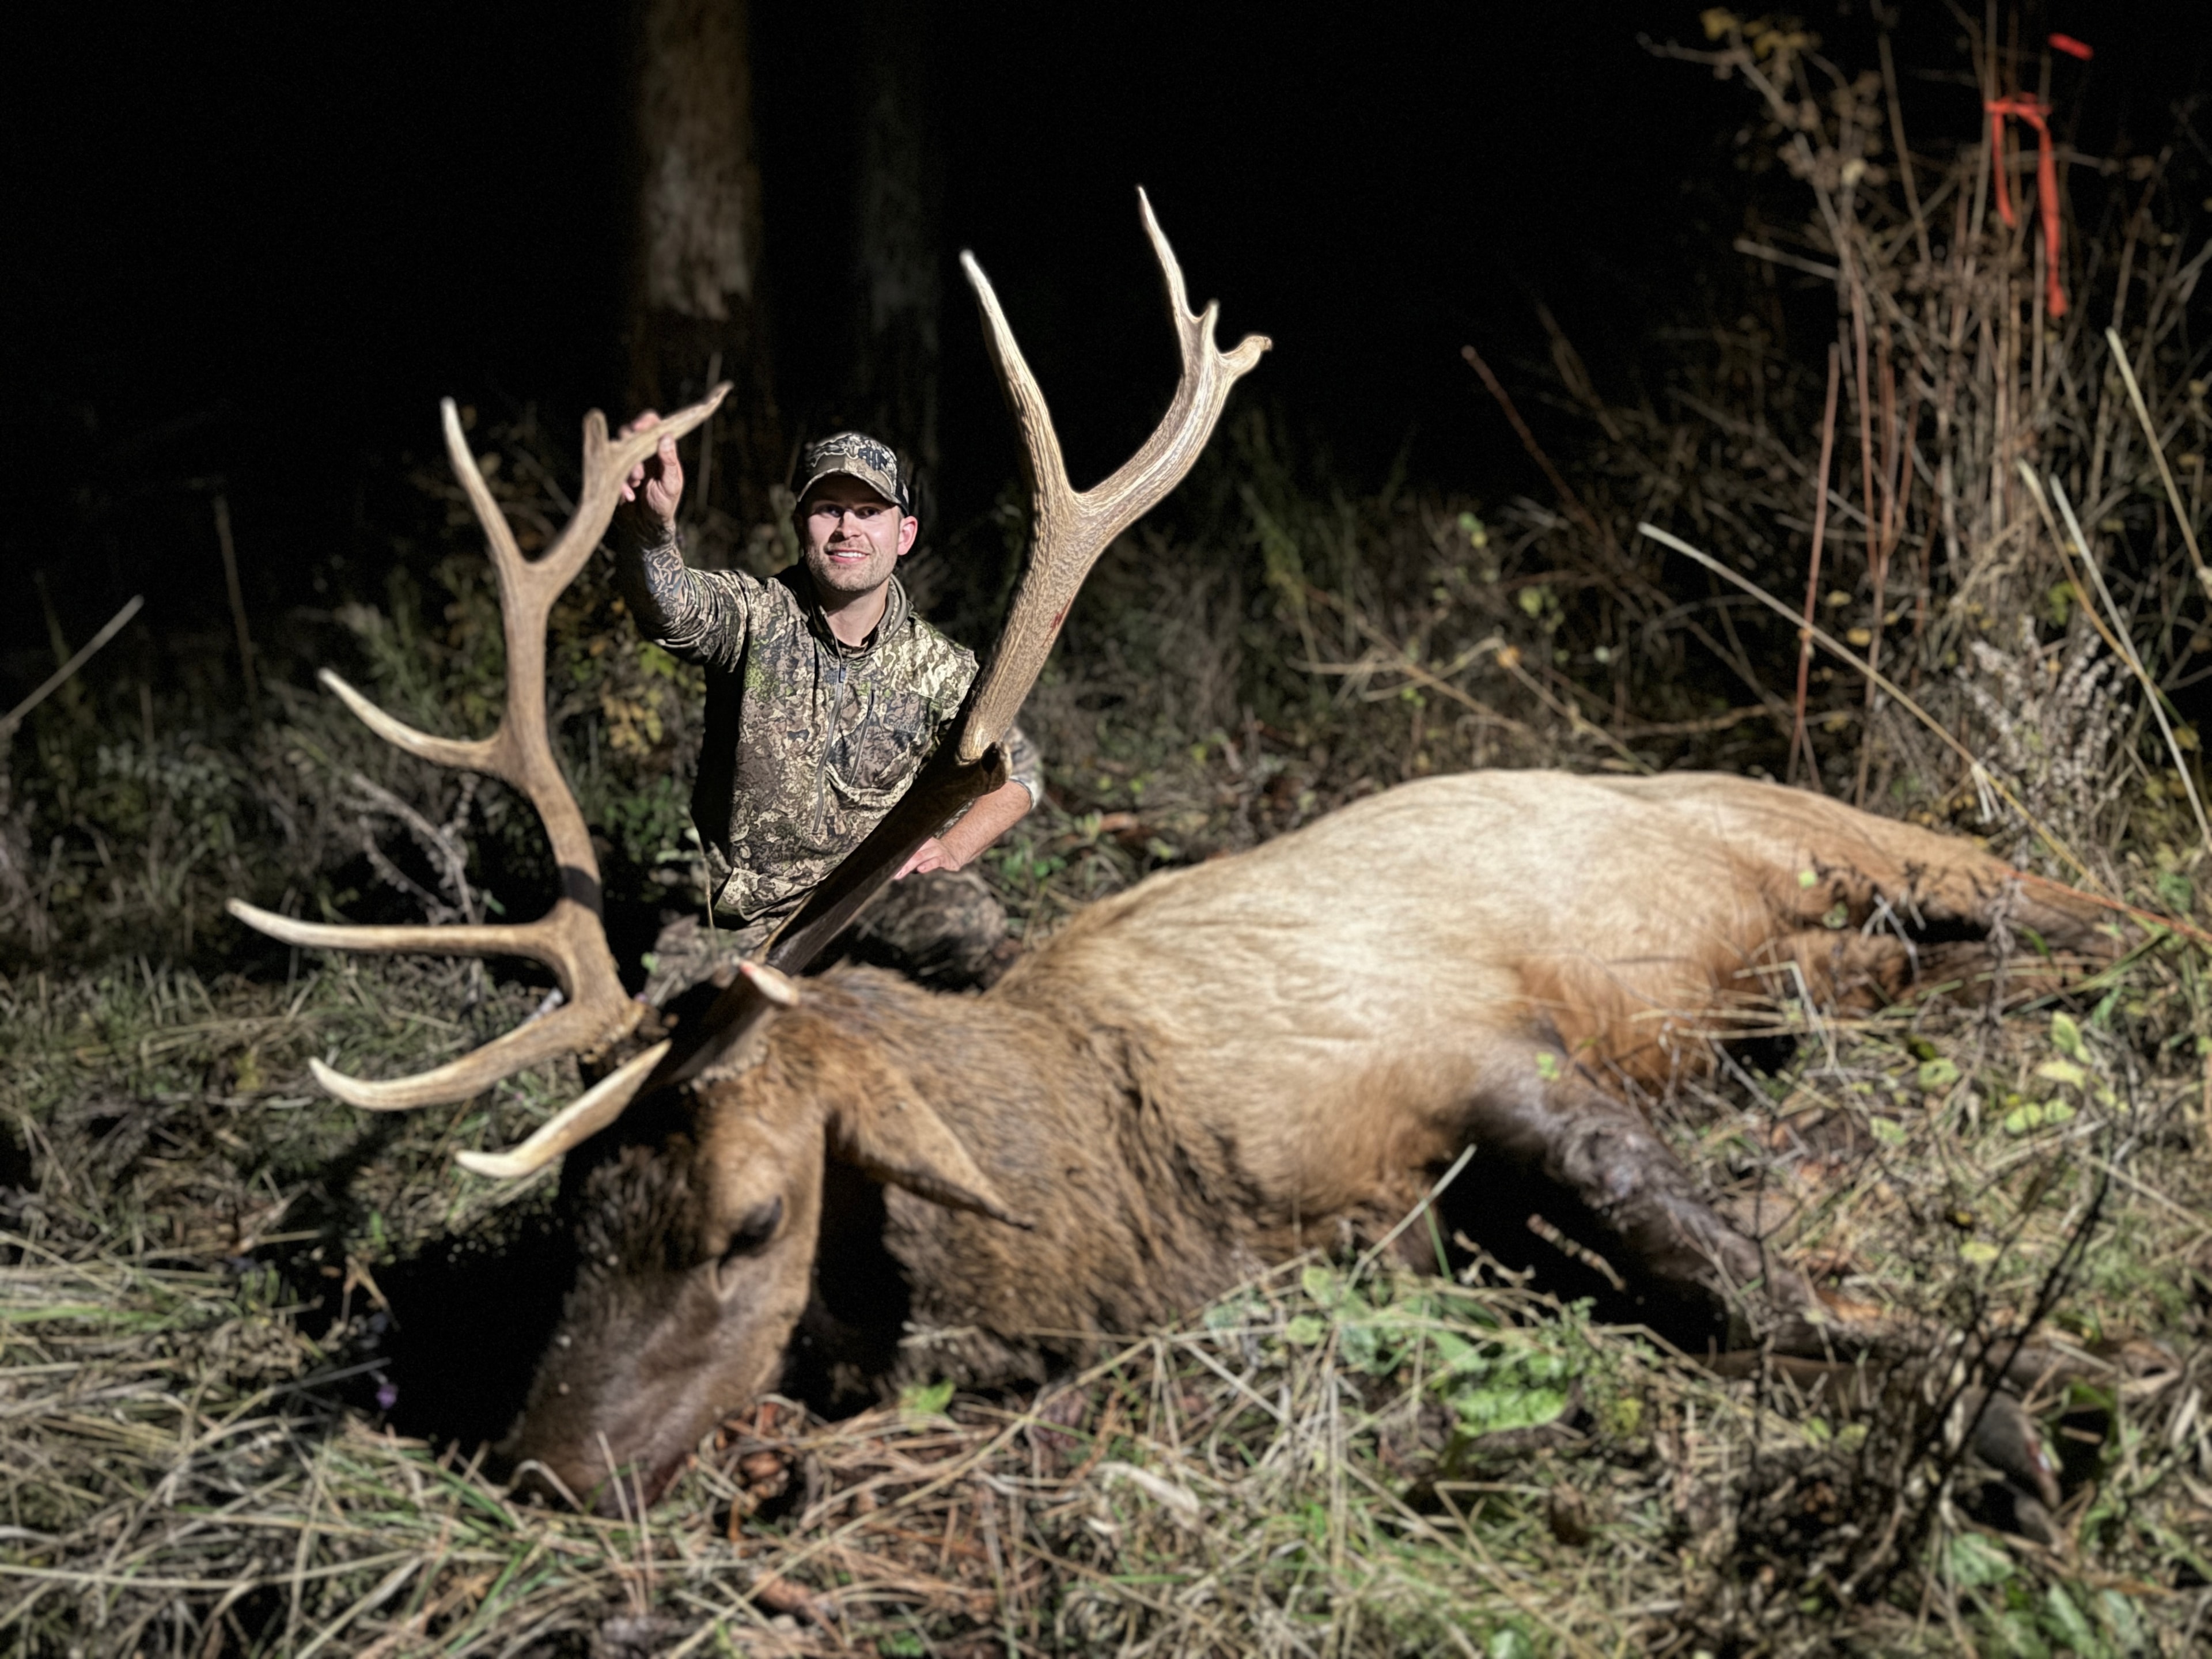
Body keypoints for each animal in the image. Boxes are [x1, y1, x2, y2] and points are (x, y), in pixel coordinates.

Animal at [230, 193, 2123, 1521]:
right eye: (570, 1212)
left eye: (750, 1219)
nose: (537, 1468)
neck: (1147, 1186)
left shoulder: (1466, 1046)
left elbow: (1714, 1265)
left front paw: (2006, 1414)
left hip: (1849, 836)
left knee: (2091, 903)